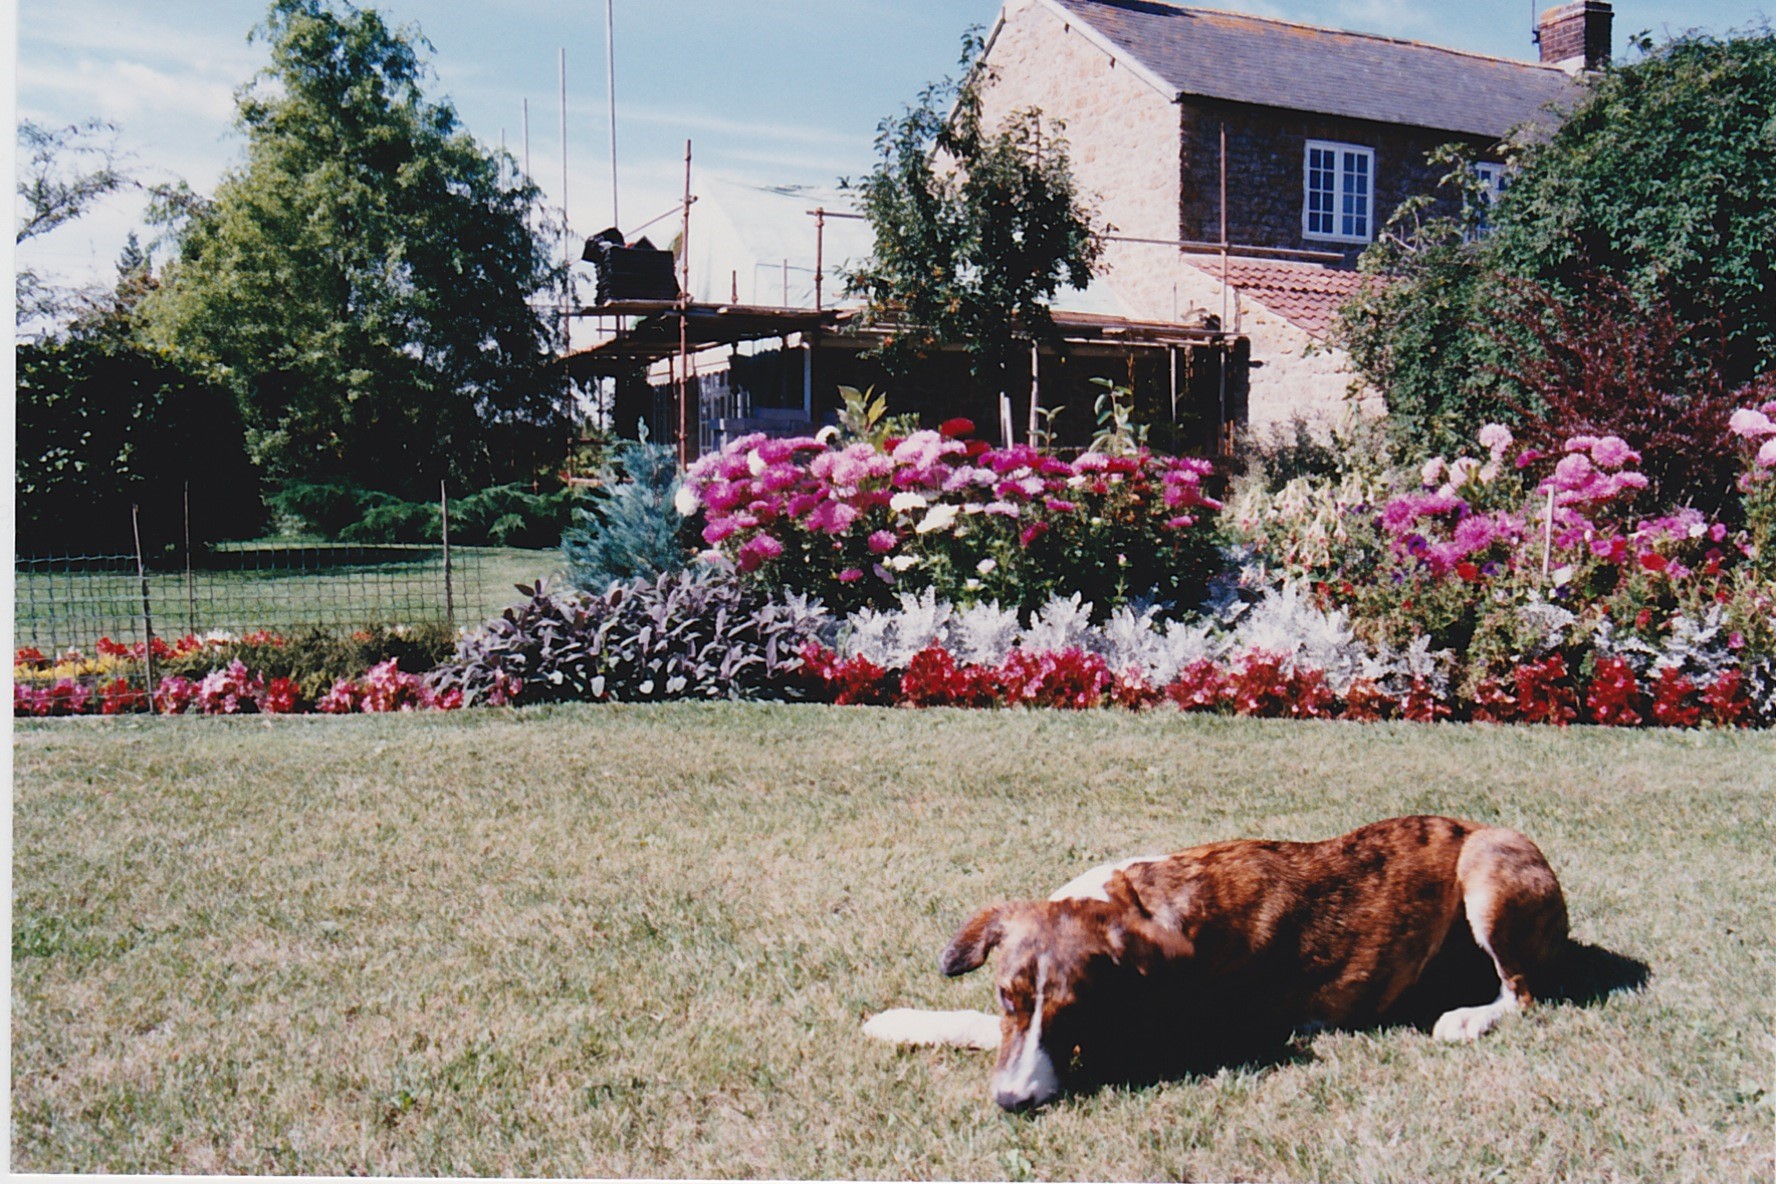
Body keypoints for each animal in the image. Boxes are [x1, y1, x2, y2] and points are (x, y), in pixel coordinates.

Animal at [864, 815, 1569, 1111]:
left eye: (1077, 1009)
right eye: (1007, 995)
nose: (1014, 1102)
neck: (1138, 902)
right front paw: (901, 1020)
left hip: (1488, 870)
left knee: (1525, 993)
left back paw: (1470, 1017)